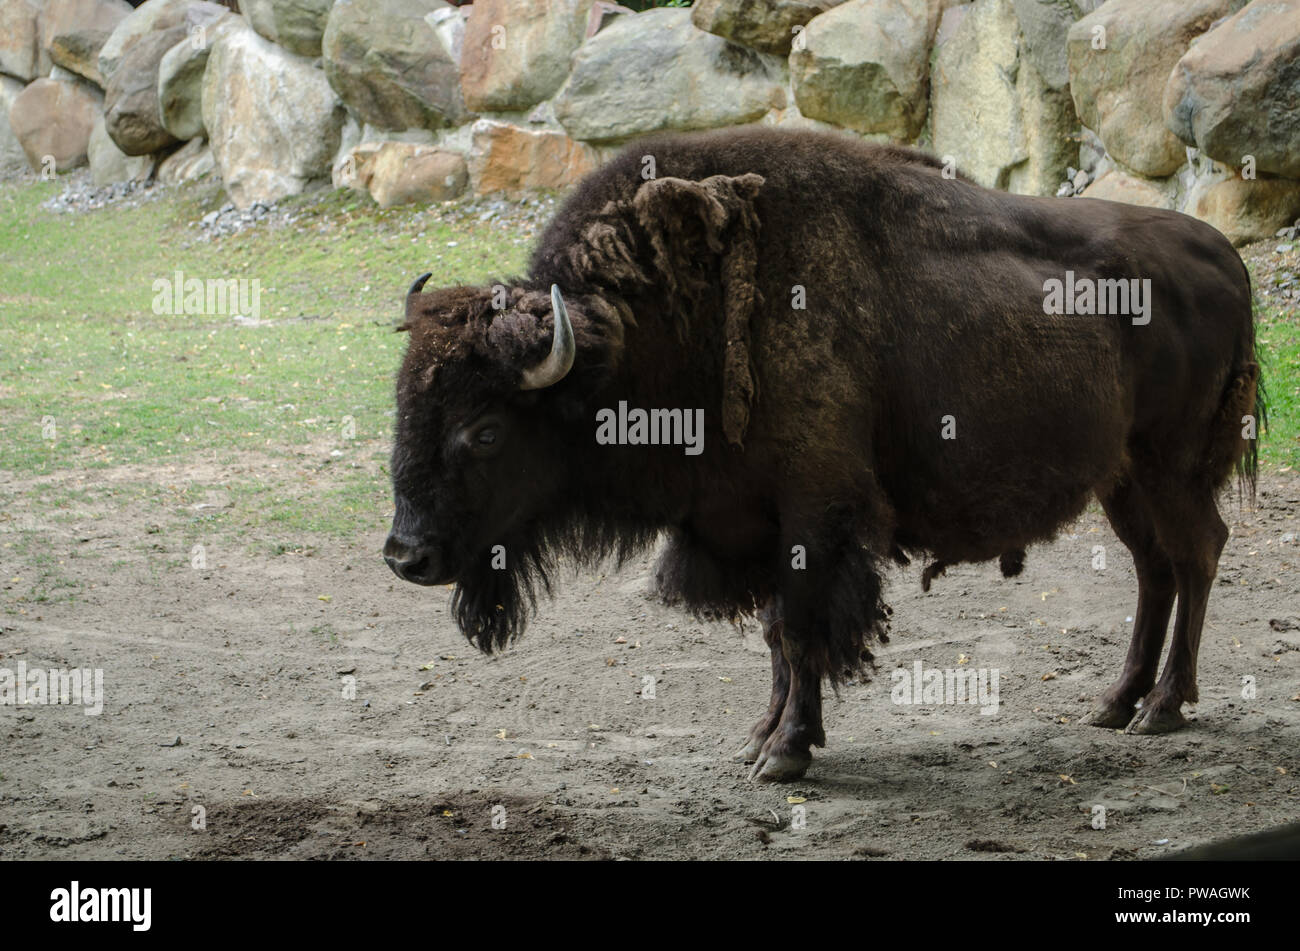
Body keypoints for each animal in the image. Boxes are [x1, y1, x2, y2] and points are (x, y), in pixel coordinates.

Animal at [384, 127, 1262, 782]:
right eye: (405, 408)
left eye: (485, 430)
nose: (404, 555)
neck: (660, 328)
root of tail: (1225, 257)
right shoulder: (761, 522)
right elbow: (778, 634)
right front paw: (757, 736)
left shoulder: (815, 515)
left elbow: (803, 630)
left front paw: (785, 751)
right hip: (1122, 478)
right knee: (1156, 567)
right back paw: (1116, 702)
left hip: (1170, 467)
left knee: (1198, 553)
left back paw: (1163, 708)